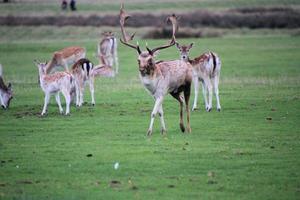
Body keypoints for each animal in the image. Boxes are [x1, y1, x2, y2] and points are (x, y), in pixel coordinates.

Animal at [119, 5, 192, 136]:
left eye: (150, 60)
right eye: (138, 60)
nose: (142, 69)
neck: (152, 85)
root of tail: (187, 63)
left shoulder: (161, 93)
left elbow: (153, 112)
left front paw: (149, 132)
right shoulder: (155, 95)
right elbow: (160, 112)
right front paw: (164, 130)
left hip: (188, 85)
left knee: (188, 104)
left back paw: (188, 129)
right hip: (174, 91)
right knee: (182, 101)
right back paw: (181, 127)